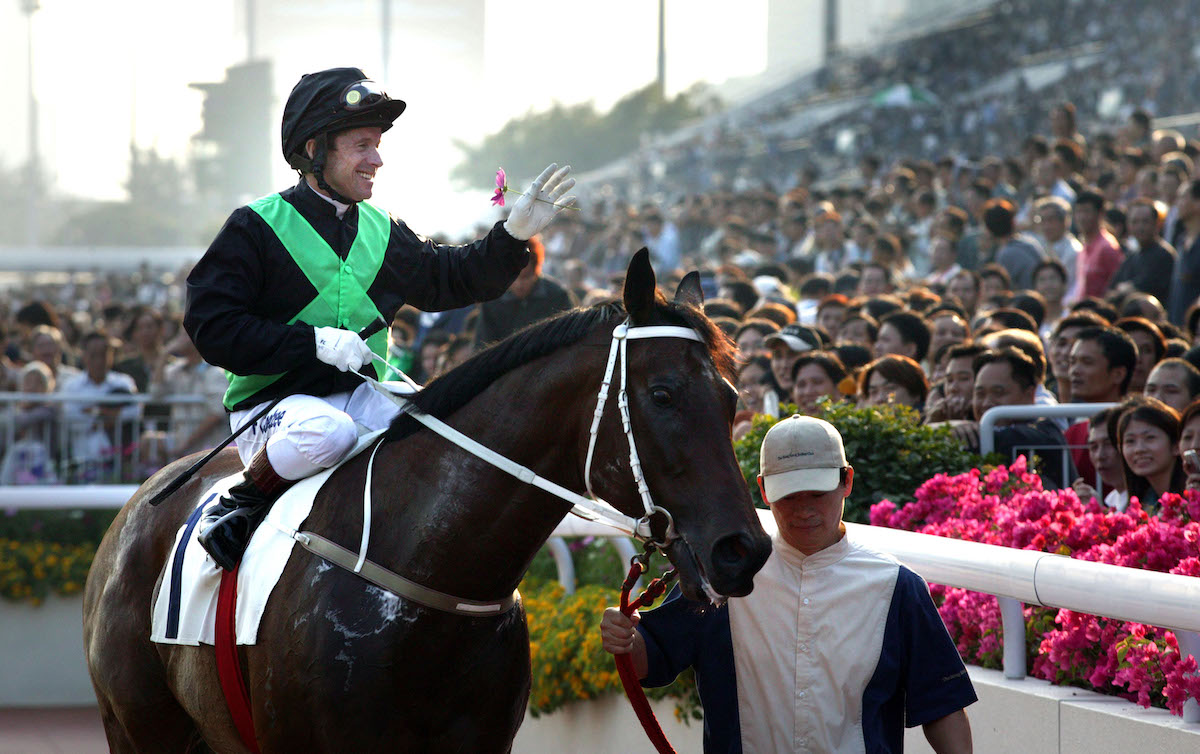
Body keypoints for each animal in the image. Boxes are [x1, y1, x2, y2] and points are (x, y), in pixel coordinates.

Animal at [88, 250, 772, 749]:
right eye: (662, 394)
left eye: (733, 398)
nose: (744, 549)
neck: (428, 570)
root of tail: (133, 511)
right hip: (139, 729)